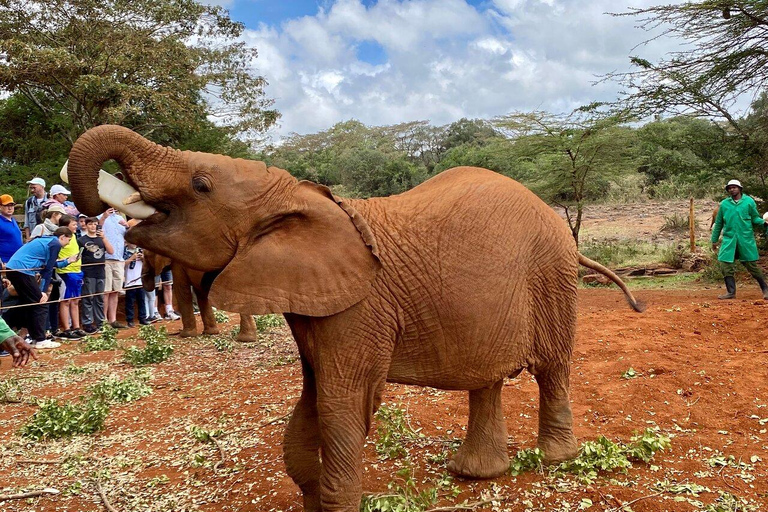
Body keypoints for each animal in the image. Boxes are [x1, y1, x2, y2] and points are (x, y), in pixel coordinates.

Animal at [64, 124, 640, 512]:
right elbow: (312, 403)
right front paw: (313, 497)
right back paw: (476, 475)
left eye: (201, 184)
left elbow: (343, 404)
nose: (94, 211)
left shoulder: (359, 307)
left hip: (552, 276)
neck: (297, 195)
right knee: (488, 379)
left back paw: (555, 460)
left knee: (552, 368)